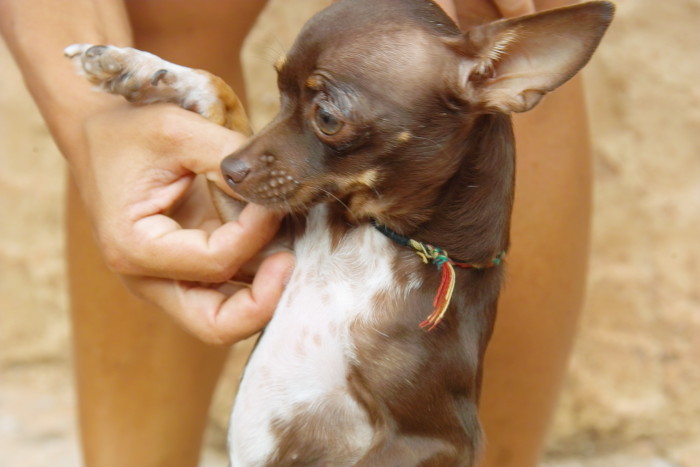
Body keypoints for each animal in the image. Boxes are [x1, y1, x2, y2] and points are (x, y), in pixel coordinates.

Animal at [65, 0, 612, 464]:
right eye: (280, 92)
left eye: (327, 117)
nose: (230, 167)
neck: (374, 238)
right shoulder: (268, 241)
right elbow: (221, 91)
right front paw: (140, 68)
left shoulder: (429, 443)